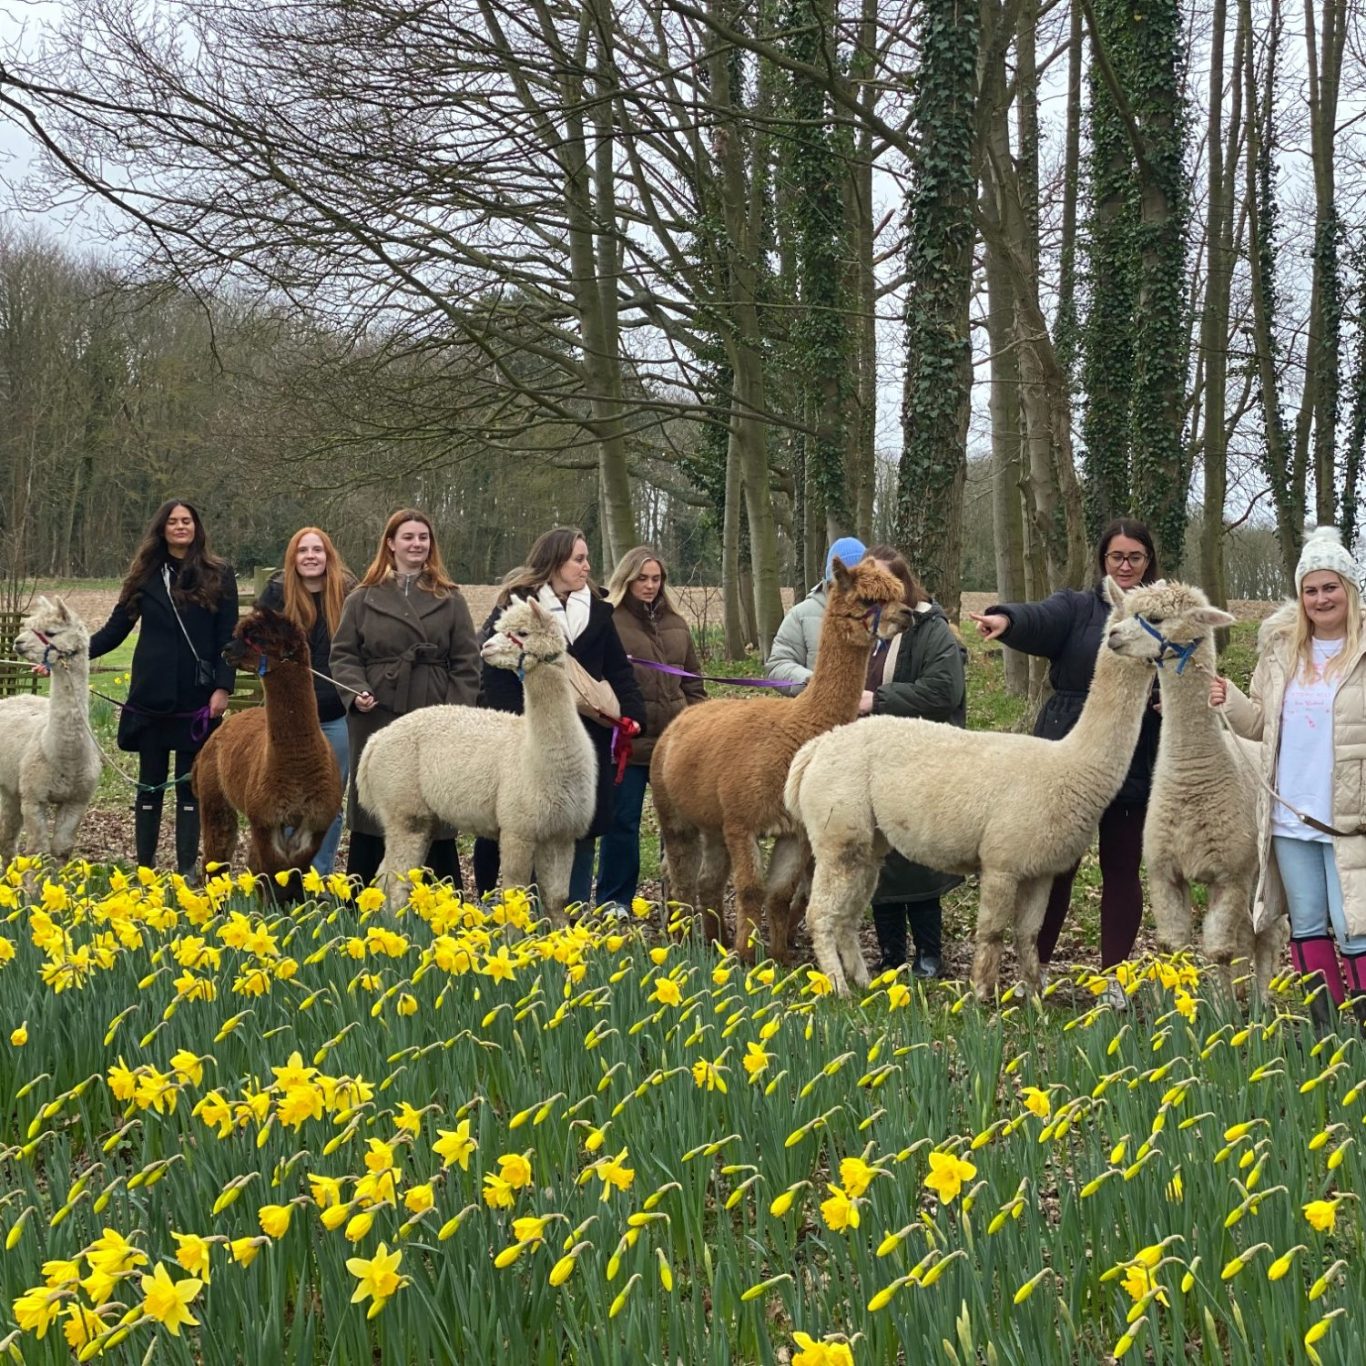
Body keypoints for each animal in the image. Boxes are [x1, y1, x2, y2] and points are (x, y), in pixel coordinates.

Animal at [356, 596, 597, 920]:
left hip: (419, 815)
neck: (535, 757)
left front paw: (564, 934)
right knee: (397, 878)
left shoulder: (560, 833)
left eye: (521, 633)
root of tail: (375, 741)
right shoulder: (517, 827)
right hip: (402, 805)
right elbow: (515, 894)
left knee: (386, 874)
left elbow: (557, 899)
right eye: (500, 628)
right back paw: (396, 928)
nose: (487, 647)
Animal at [650, 557, 910, 961]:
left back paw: (713, 940)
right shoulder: (741, 821)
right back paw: (682, 942)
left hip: (711, 821)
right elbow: (751, 889)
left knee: (707, 880)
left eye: (899, 592)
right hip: (674, 812)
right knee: (680, 877)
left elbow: (779, 893)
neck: (795, 731)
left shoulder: (793, 830)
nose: (908, 614)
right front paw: (745, 956)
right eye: (868, 598)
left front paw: (778, 958)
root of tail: (680, 720)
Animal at [784, 577, 1159, 998]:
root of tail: (817, 748)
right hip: (838, 829)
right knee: (820, 912)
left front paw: (1035, 1001)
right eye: (1152, 617)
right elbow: (993, 932)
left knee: (846, 914)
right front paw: (981, 995)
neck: (1067, 765)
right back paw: (838, 988)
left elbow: (1028, 936)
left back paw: (865, 983)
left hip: (867, 840)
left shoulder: (1040, 868)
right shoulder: (1002, 861)